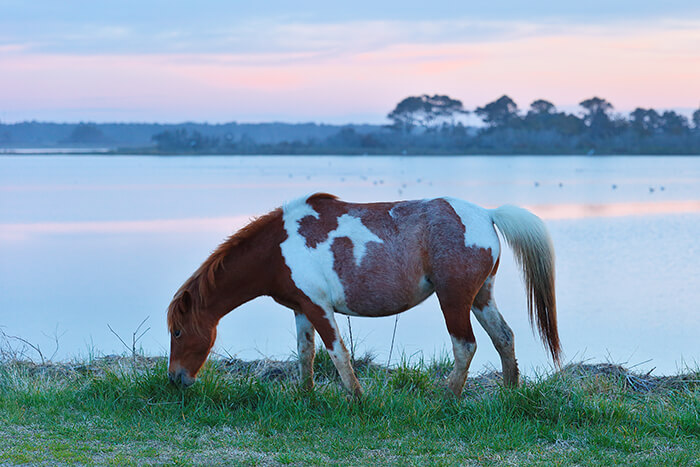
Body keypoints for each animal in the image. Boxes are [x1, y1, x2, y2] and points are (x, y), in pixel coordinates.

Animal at [165, 194, 556, 398]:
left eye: (178, 331)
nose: (175, 379)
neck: (278, 249)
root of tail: (487, 215)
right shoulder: (302, 309)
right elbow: (305, 353)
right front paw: (305, 395)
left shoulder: (320, 308)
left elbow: (337, 353)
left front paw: (357, 398)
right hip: (480, 298)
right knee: (504, 337)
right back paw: (510, 393)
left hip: (454, 299)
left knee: (465, 345)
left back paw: (446, 399)